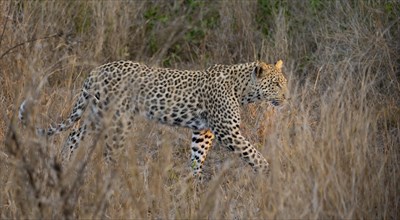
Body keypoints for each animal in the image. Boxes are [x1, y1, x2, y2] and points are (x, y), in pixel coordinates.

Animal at [19, 59, 288, 177]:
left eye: (284, 82)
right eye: (276, 84)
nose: (287, 97)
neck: (242, 89)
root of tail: (97, 69)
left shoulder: (204, 132)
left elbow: (197, 157)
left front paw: (194, 185)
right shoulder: (227, 132)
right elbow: (254, 154)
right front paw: (272, 174)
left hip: (97, 114)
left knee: (74, 134)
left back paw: (64, 164)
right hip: (118, 119)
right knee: (109, 151)